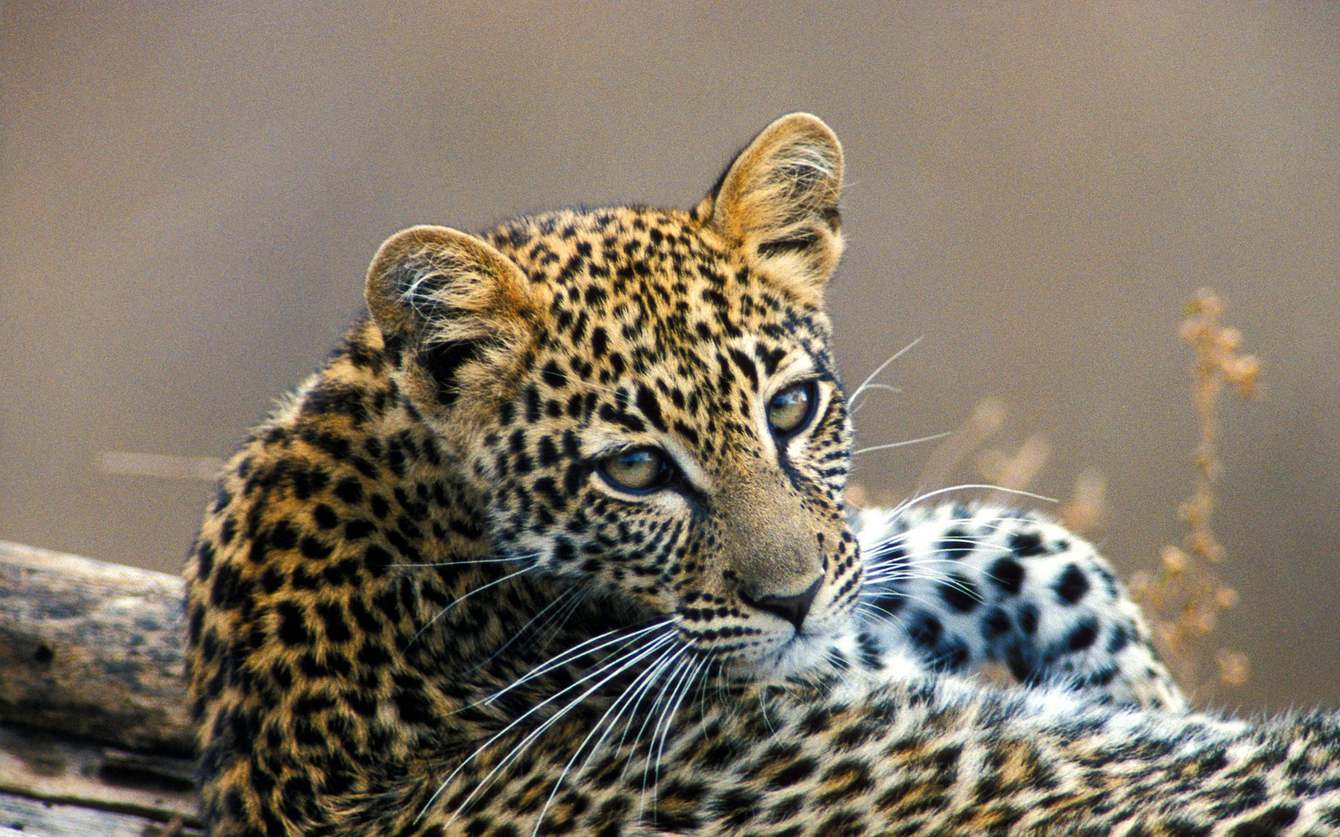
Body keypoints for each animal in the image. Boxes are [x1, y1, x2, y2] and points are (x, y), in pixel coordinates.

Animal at [186, 113, 1340, 835]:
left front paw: (1136, 679)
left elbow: (997, 539)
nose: (791, 603)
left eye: (788, 409)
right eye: (635, 469)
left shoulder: (843, 566)